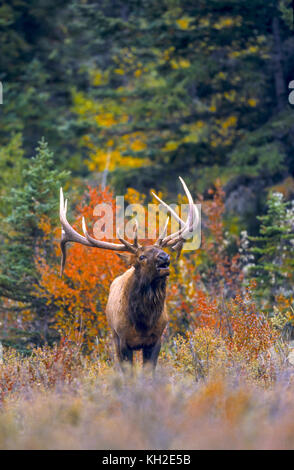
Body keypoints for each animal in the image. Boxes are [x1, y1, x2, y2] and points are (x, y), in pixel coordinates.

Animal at [58, 177, 199, 370]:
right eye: (141, 256)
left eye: (160, 249)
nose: (165, 257)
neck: (143, 323)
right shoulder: (123, 340)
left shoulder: (156, 340)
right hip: (113, 336)